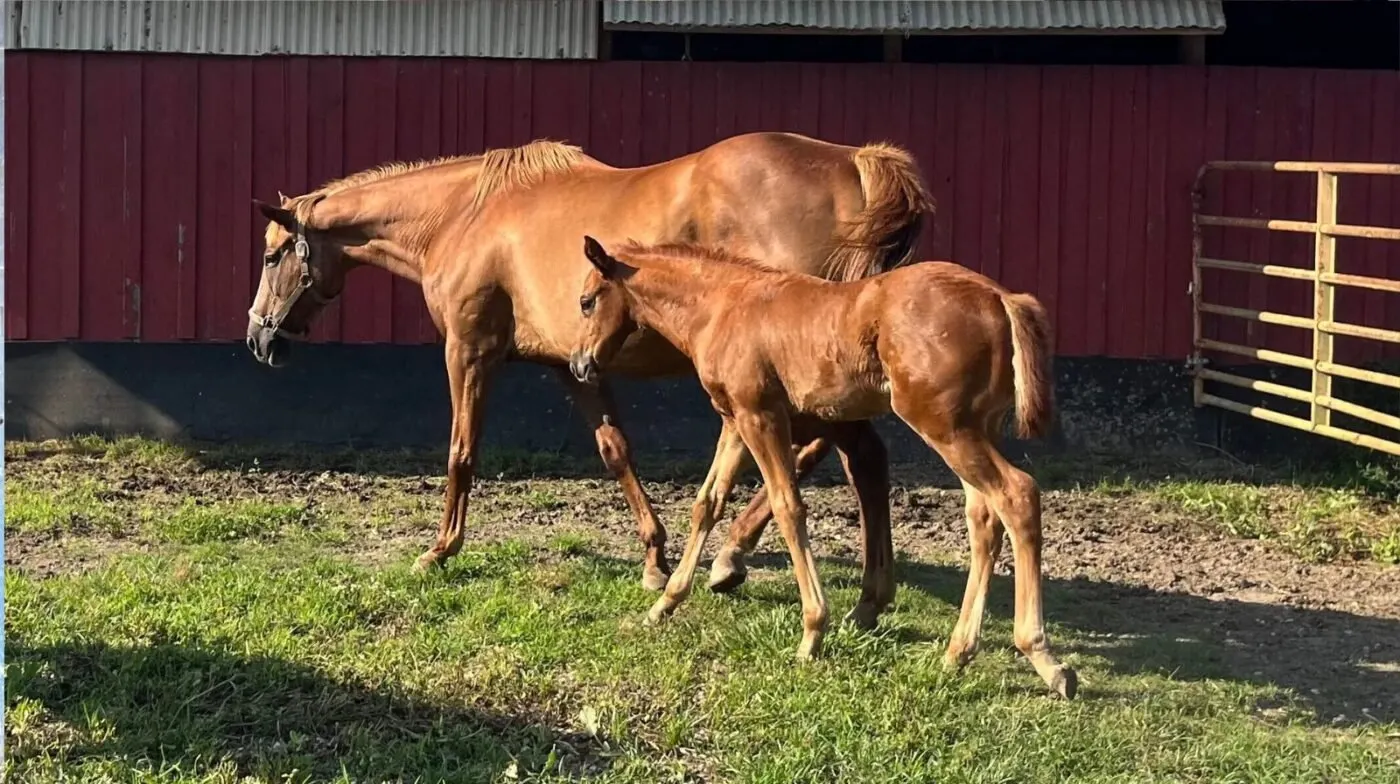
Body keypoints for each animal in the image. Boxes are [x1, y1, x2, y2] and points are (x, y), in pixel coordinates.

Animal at [245, 132, 933, 616]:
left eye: (274, 255)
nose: (258, 336)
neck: (465, 215)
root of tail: (857, 163)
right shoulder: (573, 367)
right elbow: (615, 450)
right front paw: (655, 557)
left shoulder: (468, 352)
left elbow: (461, 454)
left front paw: (440, 550)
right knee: (851, 457)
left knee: (832, 454)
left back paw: (740, 559)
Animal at [569, 236, 1076, 699]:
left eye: (586, 301)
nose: (579, 364)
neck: (721, 307)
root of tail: (1002, 298)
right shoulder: (734, 420)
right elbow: (706, 503)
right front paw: (665, 603)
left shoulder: (761, 415)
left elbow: (788, 506)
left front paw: (812, 631)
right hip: (974, 428)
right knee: (984, 518)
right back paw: (957, 652)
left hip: (944, 425)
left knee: (1017, 494)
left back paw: (1042, 657)